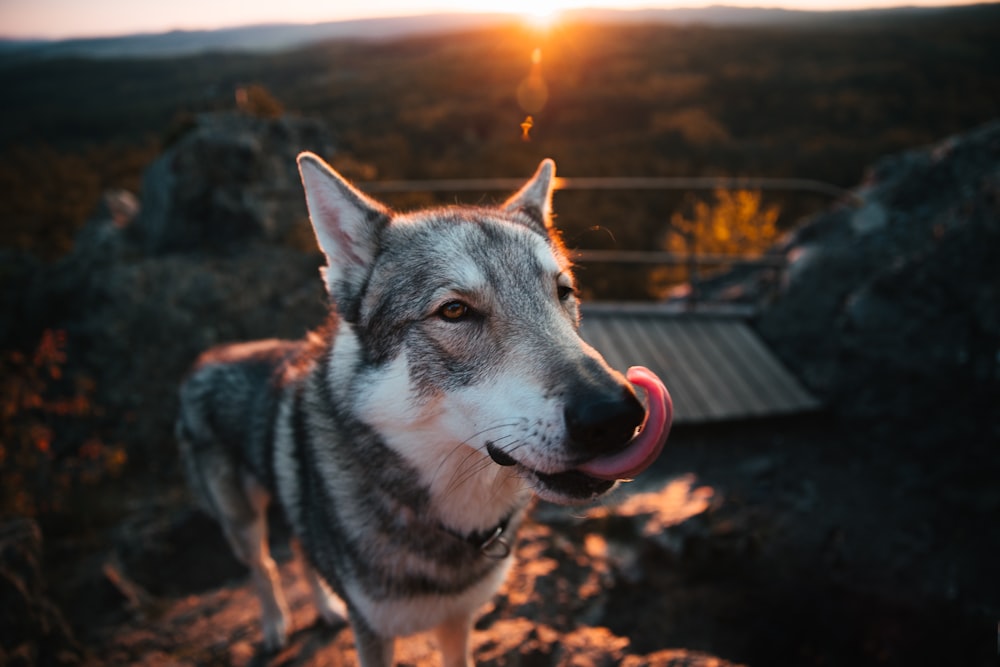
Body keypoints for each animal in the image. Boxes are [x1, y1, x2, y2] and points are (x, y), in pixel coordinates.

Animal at [174, 154, 672, 664]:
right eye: (454, 311)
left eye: (563, 292)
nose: (615, 415)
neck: (451, 520)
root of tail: (208, 356)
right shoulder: (373, 631)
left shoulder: (459, 618)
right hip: (242, 523)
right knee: (265, 566)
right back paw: (275, 627)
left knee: (299, 548)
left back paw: (326, 608)